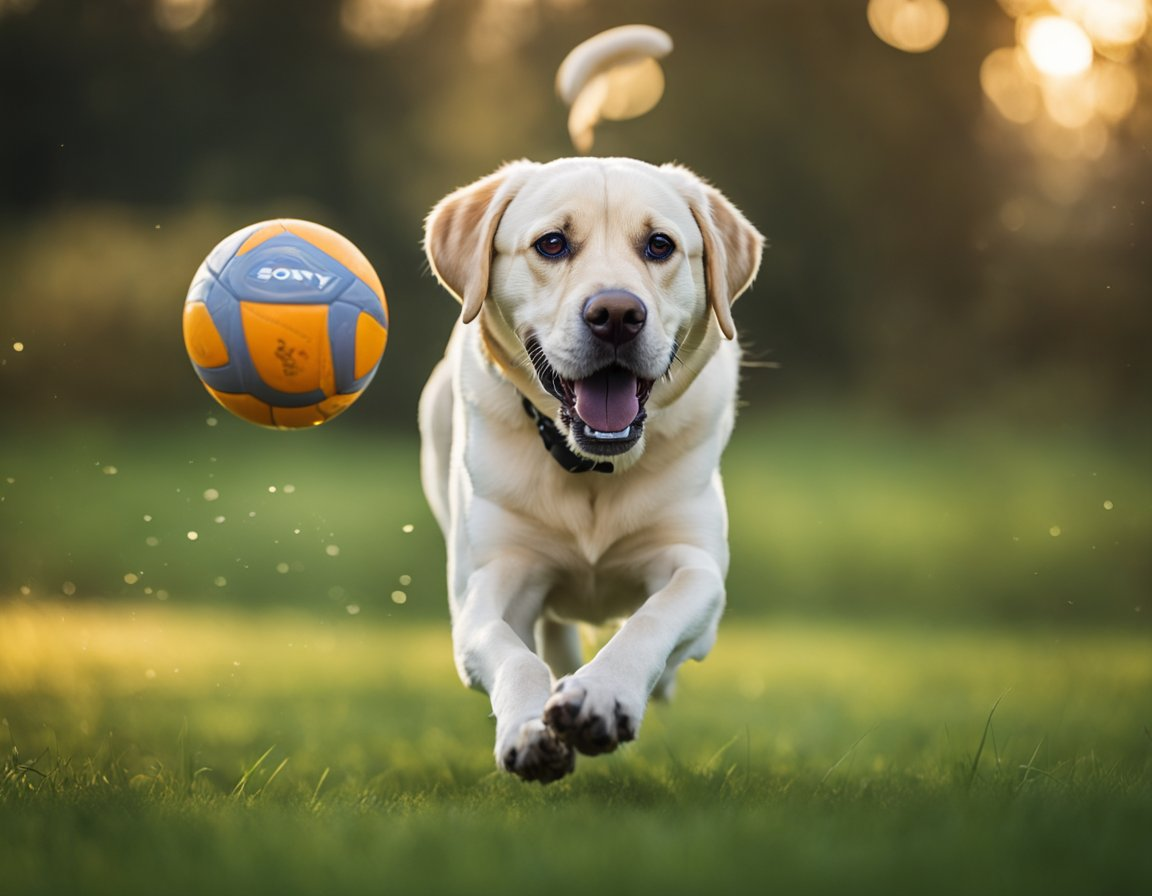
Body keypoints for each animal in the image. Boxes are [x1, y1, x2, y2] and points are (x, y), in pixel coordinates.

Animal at [419, 156, 760, 778]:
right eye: (552, 243)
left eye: (659, 245)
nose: (617, 314)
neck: (593, 469)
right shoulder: (492, 578)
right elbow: (510, 650)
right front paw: (528, 727)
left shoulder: (696, 565)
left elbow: (652, 618)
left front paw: (603, 694)